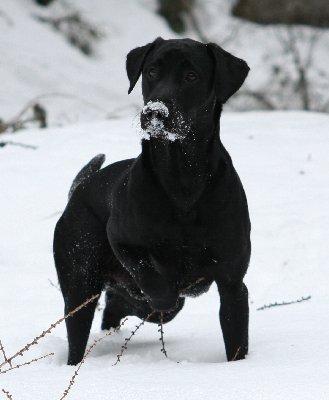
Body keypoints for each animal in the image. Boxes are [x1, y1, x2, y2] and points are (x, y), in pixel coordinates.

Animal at [53, 37, 250, 366]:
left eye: (191, 76)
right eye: (152, 71)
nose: (155, 111)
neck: (183, 179)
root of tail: (78, 191)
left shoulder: (232, 282)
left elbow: (236, 340)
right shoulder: (121, 240)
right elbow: (152, 277)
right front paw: (162, 292)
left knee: (119, 306)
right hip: (80, 284)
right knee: (84, 332)